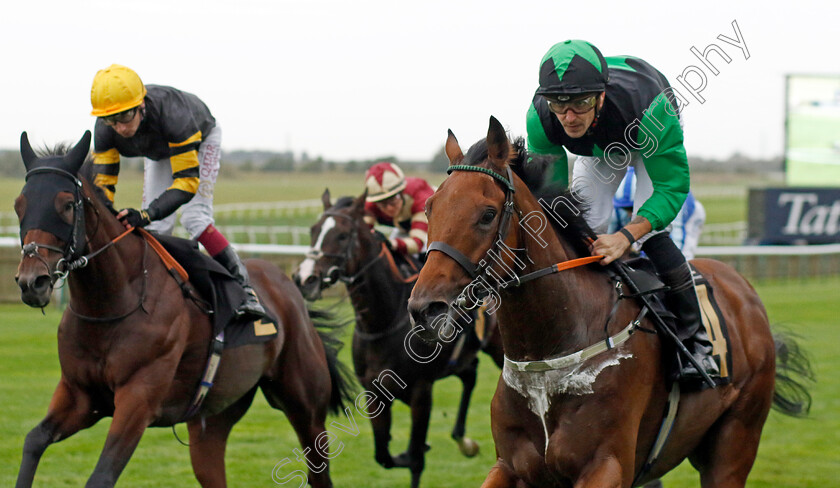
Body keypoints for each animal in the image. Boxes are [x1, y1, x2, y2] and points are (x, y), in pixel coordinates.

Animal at [13, 132, 354, 486]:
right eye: (18, 205)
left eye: (67, 205)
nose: (31, 282)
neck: (111, 305)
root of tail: (288, 285)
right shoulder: (80, 396)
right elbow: (34, 441)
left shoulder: (138, 399)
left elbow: (102, 475)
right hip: (213, 417)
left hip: (306, 406)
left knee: (318, 468)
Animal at [296, 191, 506, 488]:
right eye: (313, 230)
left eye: (343, 235)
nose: (305, 279)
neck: (384, 321)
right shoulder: (373, 391)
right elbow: (382, 453)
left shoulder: (421, 391)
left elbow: (416, 458)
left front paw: (415, 452)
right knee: (470, 375)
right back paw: (463, 440)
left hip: (498, 349)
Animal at [406, 118, 812, 488]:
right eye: (429, 208)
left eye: (487, 214)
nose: (426, 309)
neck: (548, 351)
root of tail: (743, 290)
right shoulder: (510, 466)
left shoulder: (606, 465)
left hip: (734, 444)